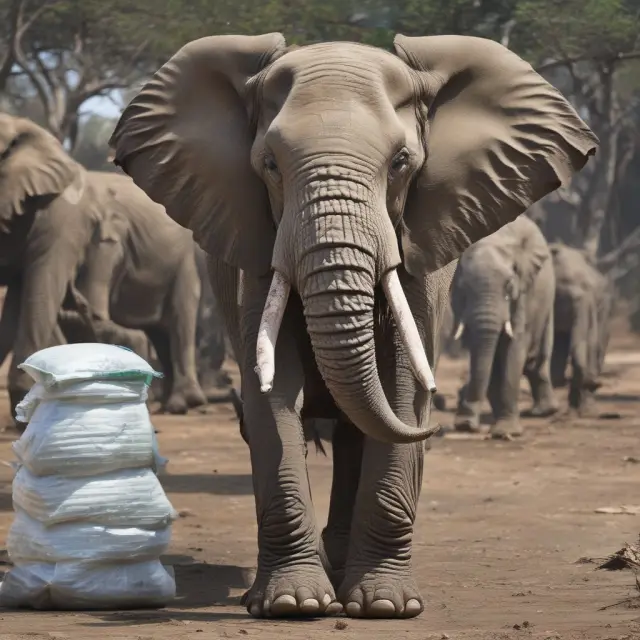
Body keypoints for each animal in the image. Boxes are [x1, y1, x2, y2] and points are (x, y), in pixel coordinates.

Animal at [0, 113, 206, 417]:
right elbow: (18, 298)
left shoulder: (81, 230)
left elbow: (43, 289)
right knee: (159, 332)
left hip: (184, 263)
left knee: (181, 320)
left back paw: (183, 404)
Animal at [451, 215, 559, 438]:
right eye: (463, 287)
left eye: (509, 286)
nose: (465, 425)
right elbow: (486, 356)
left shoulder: (524, 294)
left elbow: (514, 348)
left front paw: (505, 433)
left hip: (547, 303)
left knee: (538, 359)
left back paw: (544, 412)